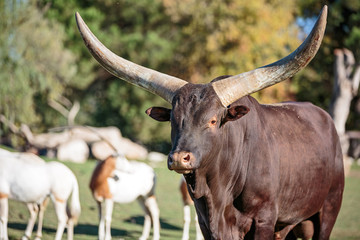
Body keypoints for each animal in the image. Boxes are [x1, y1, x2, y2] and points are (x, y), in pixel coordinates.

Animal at [76, 5, 344, 238]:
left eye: (214, 121)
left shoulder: (265, 220)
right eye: (172, 119)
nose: (179, 158)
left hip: (328, 210)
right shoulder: (206, 223)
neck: (218, 193)